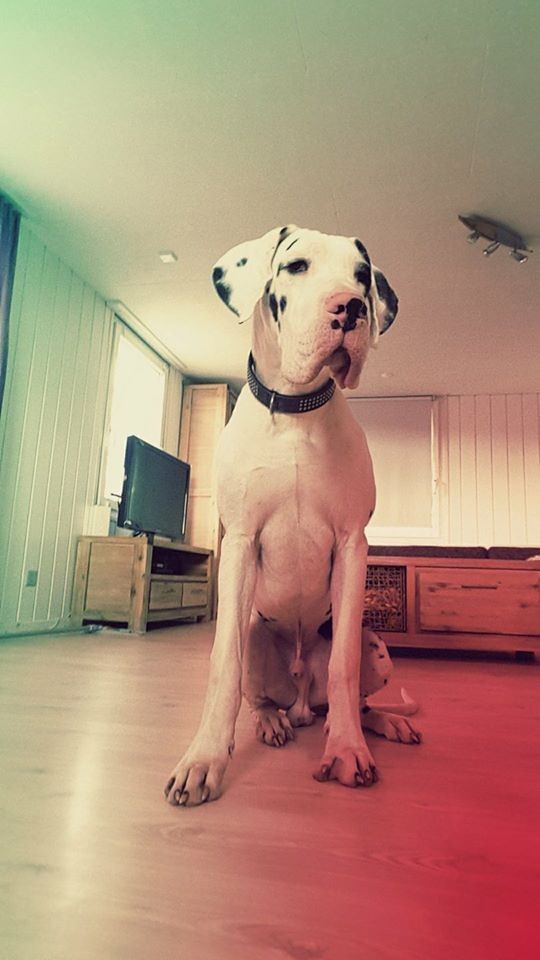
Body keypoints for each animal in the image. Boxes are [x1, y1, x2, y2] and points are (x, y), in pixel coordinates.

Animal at [165, 226, 421, 807]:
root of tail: (302, 700)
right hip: (258, 636)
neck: (298, 410)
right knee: (259, 692)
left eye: (361, 276)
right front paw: (204, 759)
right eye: (297, 266)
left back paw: (378, 724)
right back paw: (270, 723)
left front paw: (347, 749)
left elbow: (344, 667)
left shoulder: (352, 544)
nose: (351, 308)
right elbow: (223, 662)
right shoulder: (239, 541)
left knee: (351, 696)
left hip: (375, 644)